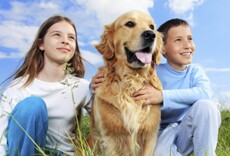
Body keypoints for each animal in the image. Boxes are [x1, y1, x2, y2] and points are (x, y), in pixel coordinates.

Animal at [89, 10, 163, 155]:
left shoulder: (150, 135)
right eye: (129, 24)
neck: (132, 78)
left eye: (152, 27)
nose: (150, 35)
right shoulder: (110, 136)